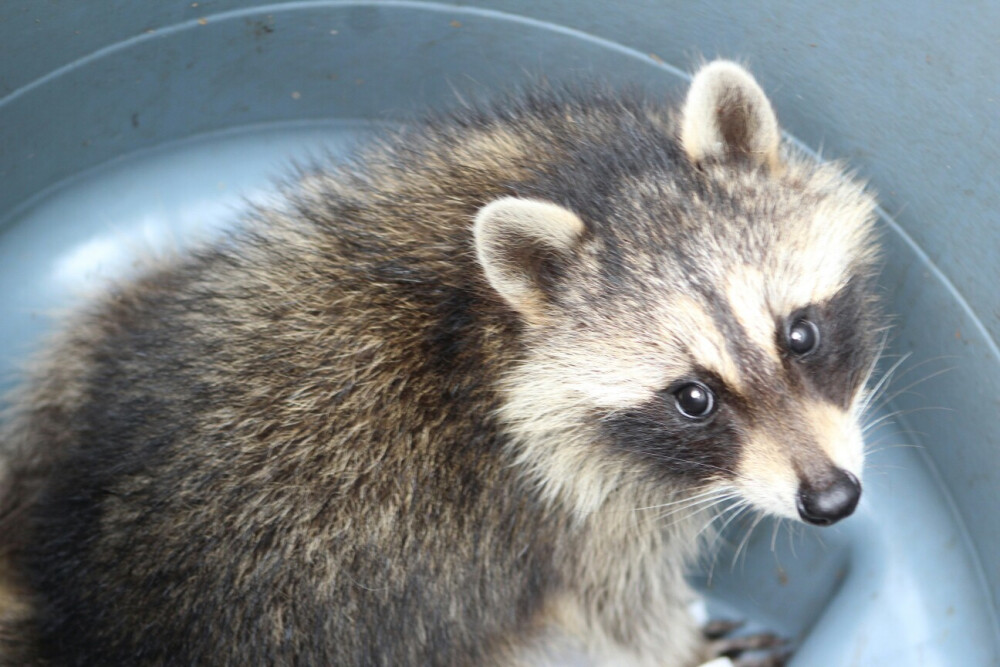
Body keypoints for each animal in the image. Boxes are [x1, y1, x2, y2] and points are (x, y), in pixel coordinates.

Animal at [0, 60, 880, 664]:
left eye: (800, 335)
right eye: (693, 396)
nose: (832, 500)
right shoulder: (563, 513)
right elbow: (619, 610)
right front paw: (687, 647)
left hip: (95, 354)